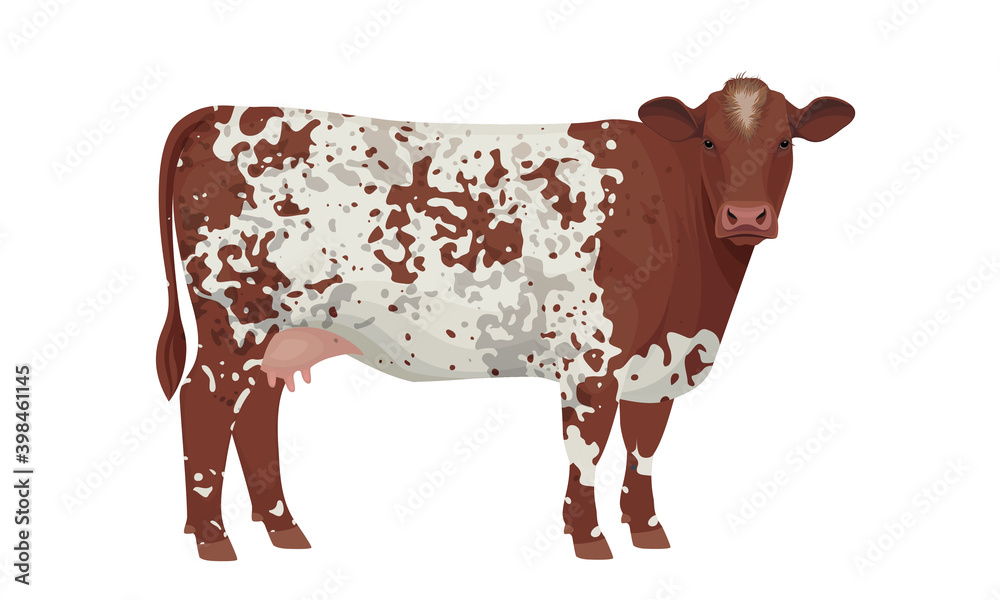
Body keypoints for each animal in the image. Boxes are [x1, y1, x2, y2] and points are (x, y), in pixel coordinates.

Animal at [156, 75, 853, 561]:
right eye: (709, 139)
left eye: (785, 139)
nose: (746, 216)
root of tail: (220, 110)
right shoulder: (590, 360)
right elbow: (587, 447)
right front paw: (589, 538)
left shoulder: (659, 363)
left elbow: (644, 447)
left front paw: (648, 532)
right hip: (233, 323)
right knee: (205, 405)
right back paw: (213, 539)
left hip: (278, 335)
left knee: (256, 417)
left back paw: (282, 529)